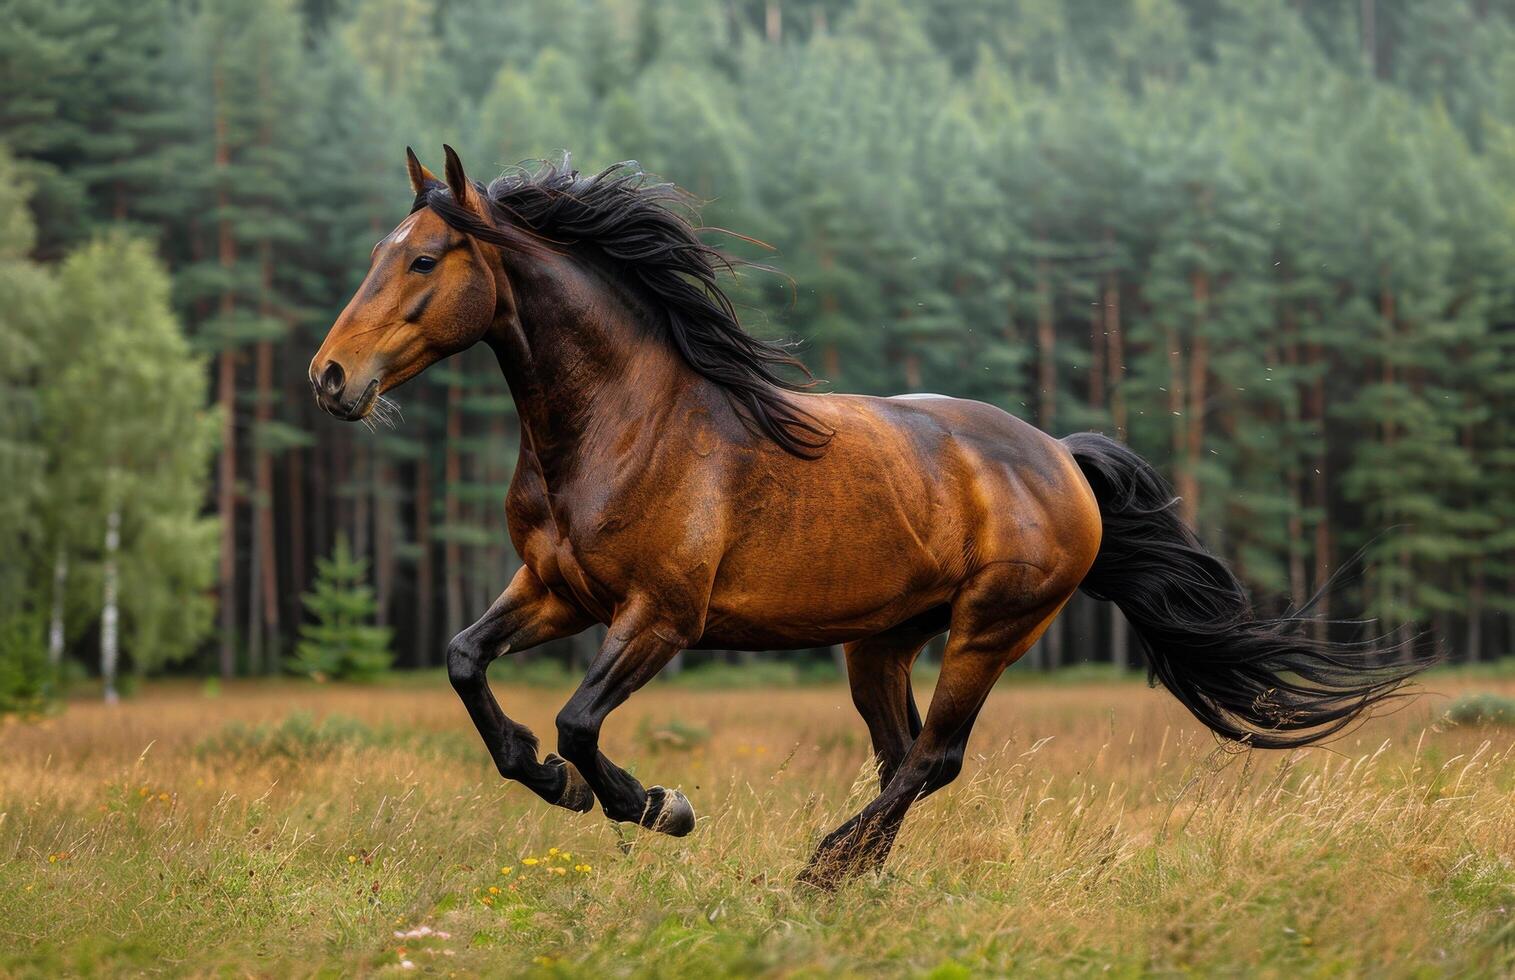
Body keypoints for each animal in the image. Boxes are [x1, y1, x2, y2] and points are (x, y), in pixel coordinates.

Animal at [308, 146, 1434, 887]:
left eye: (422, 260)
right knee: (905, 763)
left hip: (988, 630)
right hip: (878, 639)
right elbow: (465, 662)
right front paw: (553, 783)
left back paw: (823, 867)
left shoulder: (659, 615)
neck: (618, 425)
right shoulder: (554, 588)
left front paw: (657, 806)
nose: (331, 377)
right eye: (380, 250)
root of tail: (1059, 457)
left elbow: (581, 719)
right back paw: (859, 879)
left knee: (934, 758)